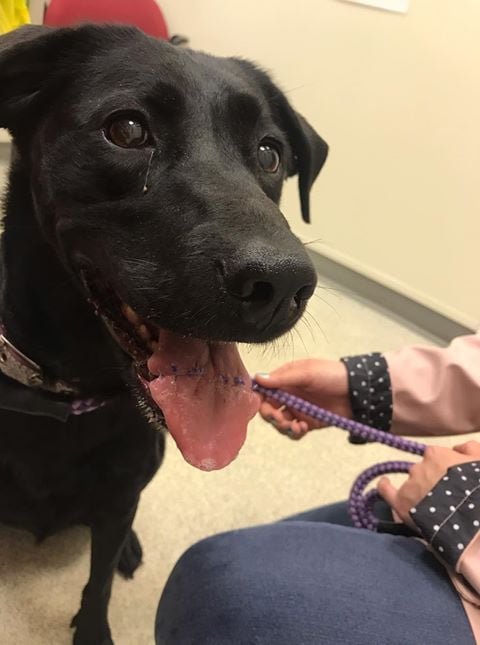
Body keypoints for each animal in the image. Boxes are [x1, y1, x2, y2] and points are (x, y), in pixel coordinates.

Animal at [0, 25, 326, 644]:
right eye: (127, 130)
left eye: (270, 153)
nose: (282, 284)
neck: (67, 394)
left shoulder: (119, 495)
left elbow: (98, 581)